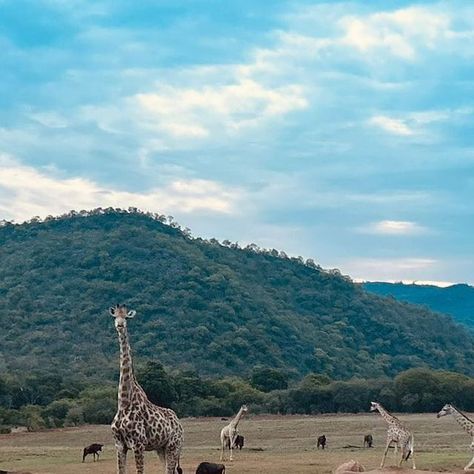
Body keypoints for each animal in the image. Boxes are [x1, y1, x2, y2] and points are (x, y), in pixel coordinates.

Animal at [109, 304, 183, 474]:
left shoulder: (138, 444)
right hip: (161, 448)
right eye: (115, 316)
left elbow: (140, 471)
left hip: (174, 446)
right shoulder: (119, 445)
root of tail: (179, 424)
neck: (123, 402)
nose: (120, 325)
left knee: (171, 470)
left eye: (126, 317)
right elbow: (120, 471)